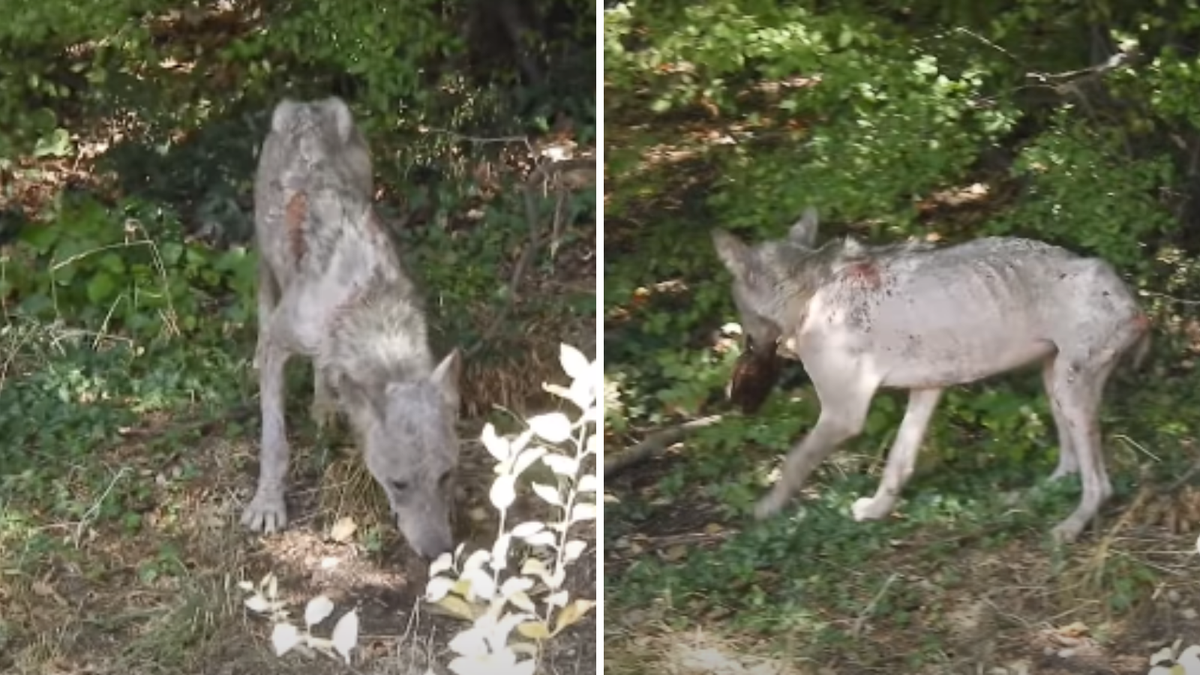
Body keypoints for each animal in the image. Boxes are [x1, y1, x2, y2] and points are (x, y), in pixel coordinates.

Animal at [241, 96, 460, 557]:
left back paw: (325, 406)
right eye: (398, 484)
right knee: (264, 304)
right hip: (265, 258)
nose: (440, 554)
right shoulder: (281, 344)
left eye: (446, 475)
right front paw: (267, 504)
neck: (365, 299)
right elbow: (274, 442)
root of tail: (307, 105)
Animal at [710, 208, 1152, 540]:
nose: (745, 352)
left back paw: (1070, 526)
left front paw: (766, 509)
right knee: (1068, 467)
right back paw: (1029, 497)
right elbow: (898, 462)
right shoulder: (927, 390)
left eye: (735, 302)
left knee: (1099, 484)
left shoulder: (843, 415)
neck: (811, 293)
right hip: (1054, 383)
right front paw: (878, 509)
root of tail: (1134, 301)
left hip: (1070, 389)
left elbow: (793, 463)